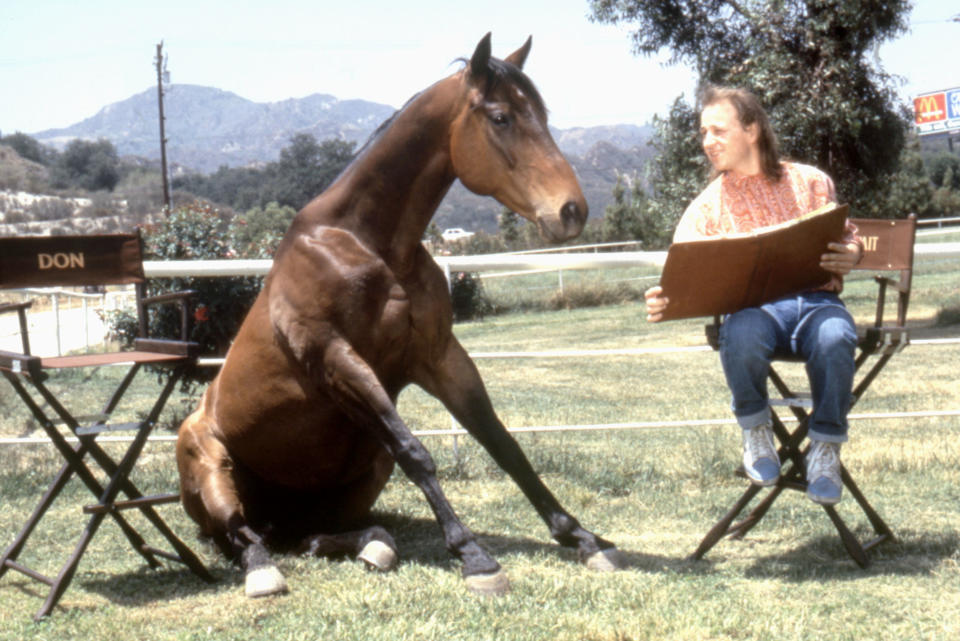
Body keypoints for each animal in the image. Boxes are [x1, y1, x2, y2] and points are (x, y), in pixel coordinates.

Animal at [175, 32, 620, 596]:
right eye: (501, 117)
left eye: (541, 113)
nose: (571, 211)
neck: (366, 246)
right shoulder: (337, 360)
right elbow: (417, 452)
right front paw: (476, 557)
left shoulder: (439, 357)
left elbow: (503, 444)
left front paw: (583, 538)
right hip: (214, 472)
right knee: (242, 537)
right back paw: (263, 570)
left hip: (360, 474)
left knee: (314, 538)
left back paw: (375, 546)